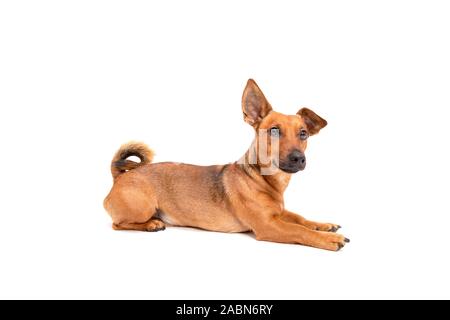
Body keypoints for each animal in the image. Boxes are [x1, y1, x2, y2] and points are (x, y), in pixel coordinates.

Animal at [104, 79, 348, 250]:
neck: (264, 179)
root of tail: (120, 176)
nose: (299, 158)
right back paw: (151, 224)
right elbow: (299, 231)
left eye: (303, 133)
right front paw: (327, 238)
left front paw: (323, 225)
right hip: (141, 206)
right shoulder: (269, 226)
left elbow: (300, 219)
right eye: (274, 131)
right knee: (117, 224)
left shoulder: (279, 213)